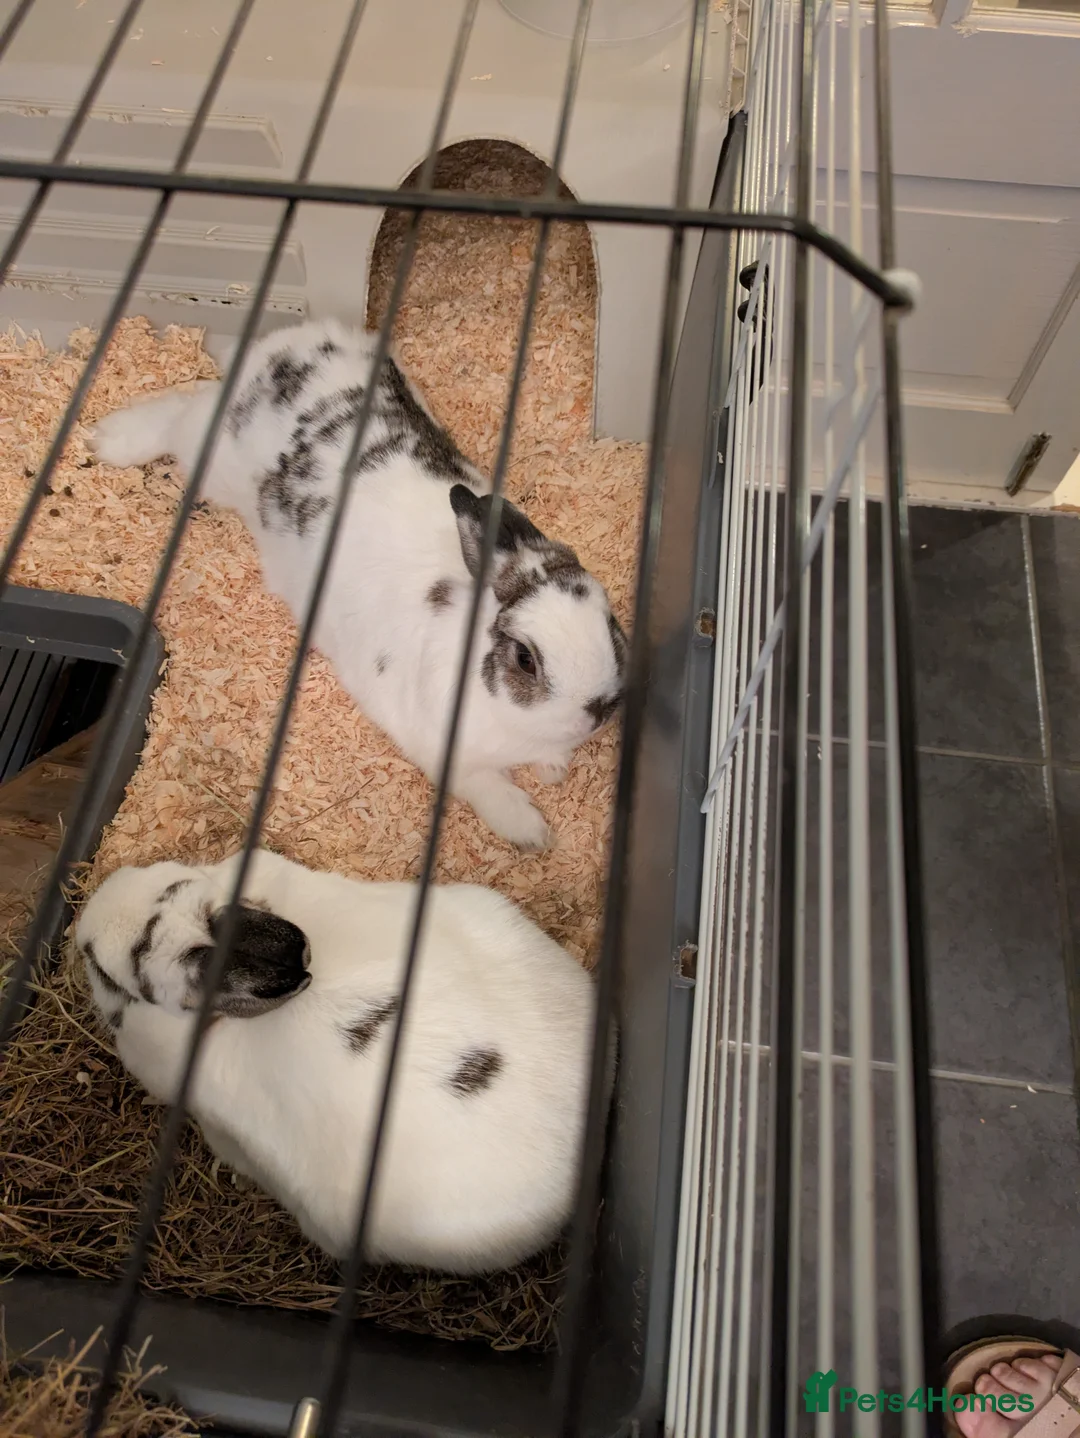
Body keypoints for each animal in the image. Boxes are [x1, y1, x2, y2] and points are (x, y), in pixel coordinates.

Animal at [89, 320, 628, 850]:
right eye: (524, 658)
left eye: (611, 621)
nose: (599, 709)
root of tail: (281, 349)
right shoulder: (438, 746)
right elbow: (485, 787)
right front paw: (534, 833)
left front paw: (553, 770)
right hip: (213, 457)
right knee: (184, 410)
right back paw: (109, 439)